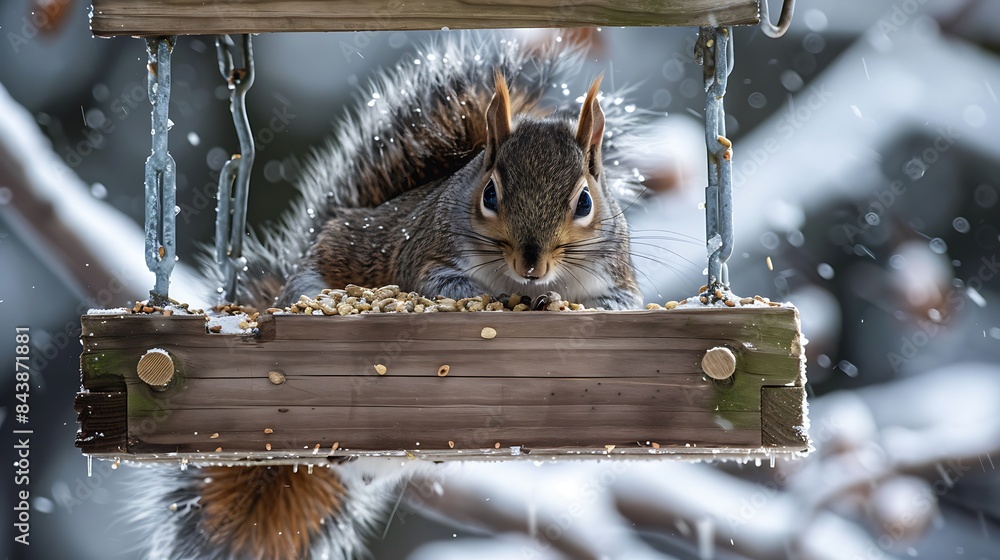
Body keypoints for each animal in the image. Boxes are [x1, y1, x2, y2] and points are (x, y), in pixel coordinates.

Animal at [137, 31, 644, 560]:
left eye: (585, 201)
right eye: (489, 195)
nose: (532, 265)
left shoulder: (619, 278)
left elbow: (620, 302)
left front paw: (563, 305)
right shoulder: (424, 257)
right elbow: (441, 287)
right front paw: (494, 301)